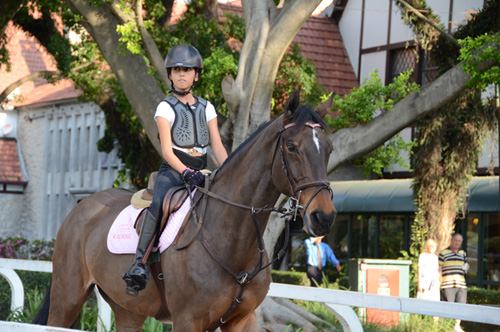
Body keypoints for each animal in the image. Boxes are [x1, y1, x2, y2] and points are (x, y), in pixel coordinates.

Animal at [34, 89, 336, 330]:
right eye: (292, 146)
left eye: (329, 148)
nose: (324, 217)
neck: (231, 240)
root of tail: (82, 208)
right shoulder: (188, 320)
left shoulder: (243, 319)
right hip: (67, 299)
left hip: (127, 310)